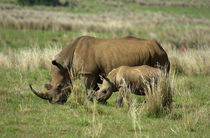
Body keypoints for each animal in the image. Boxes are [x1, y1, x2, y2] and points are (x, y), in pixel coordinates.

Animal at [29, 36, 170, 104]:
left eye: (59, 86)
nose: (54, 102)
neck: (66, 64)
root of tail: (162, 48)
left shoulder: (87, 73)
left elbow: (88, 88)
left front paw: (91, 102)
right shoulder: (92, 73)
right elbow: (95, 88)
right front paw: (100, 101)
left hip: (158, 57)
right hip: (156, 54)